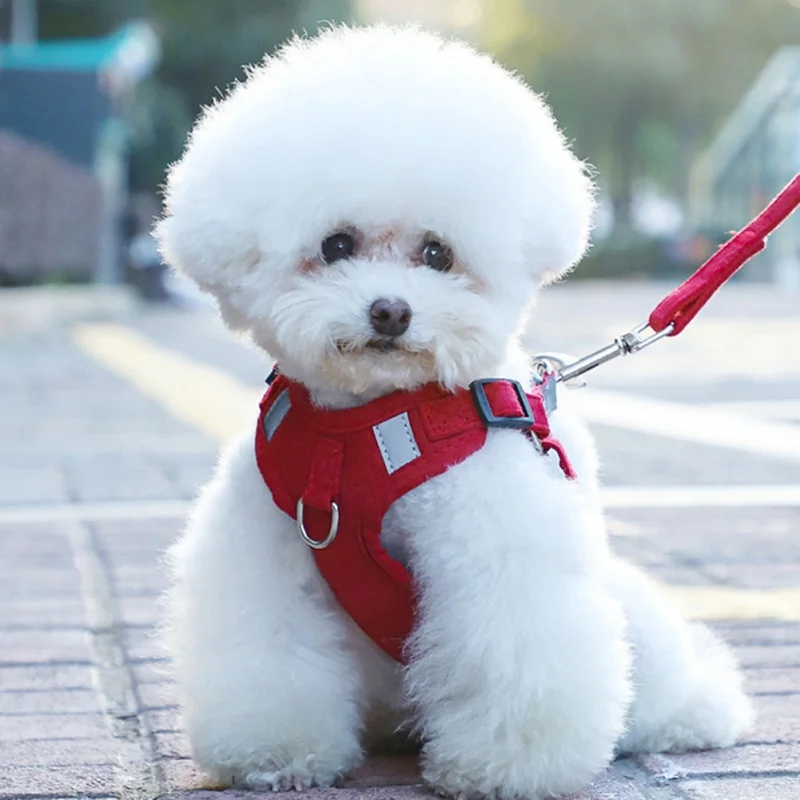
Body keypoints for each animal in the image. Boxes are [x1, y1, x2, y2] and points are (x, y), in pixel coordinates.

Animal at [158, 25, 756, 800]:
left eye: (438, 254)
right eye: (336, 245)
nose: (389, 310)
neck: (362, 426)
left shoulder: (490, 546)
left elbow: (508, 648)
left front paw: (504, 769)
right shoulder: (267, 549)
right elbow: (270, 648)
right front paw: (277, 754)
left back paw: (697, 712)